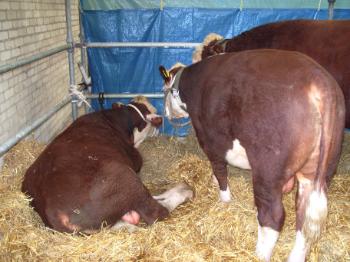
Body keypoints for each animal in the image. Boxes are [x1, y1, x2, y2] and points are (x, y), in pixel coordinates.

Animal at [21, 96, 194, 233]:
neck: (116, 119)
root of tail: (55, 214)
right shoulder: (135, 159)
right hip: (124, 176)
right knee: (155, 212)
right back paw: (185, 190)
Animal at [161, 49, 344, 262]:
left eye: (164, 90)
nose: (166, 113)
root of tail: (321, 83)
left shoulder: (210, 138)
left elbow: (219, 169)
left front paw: (223, 198)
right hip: (318, 171)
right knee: (304, 217)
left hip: (268, 169)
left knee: (272, 216)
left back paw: (259, 254)